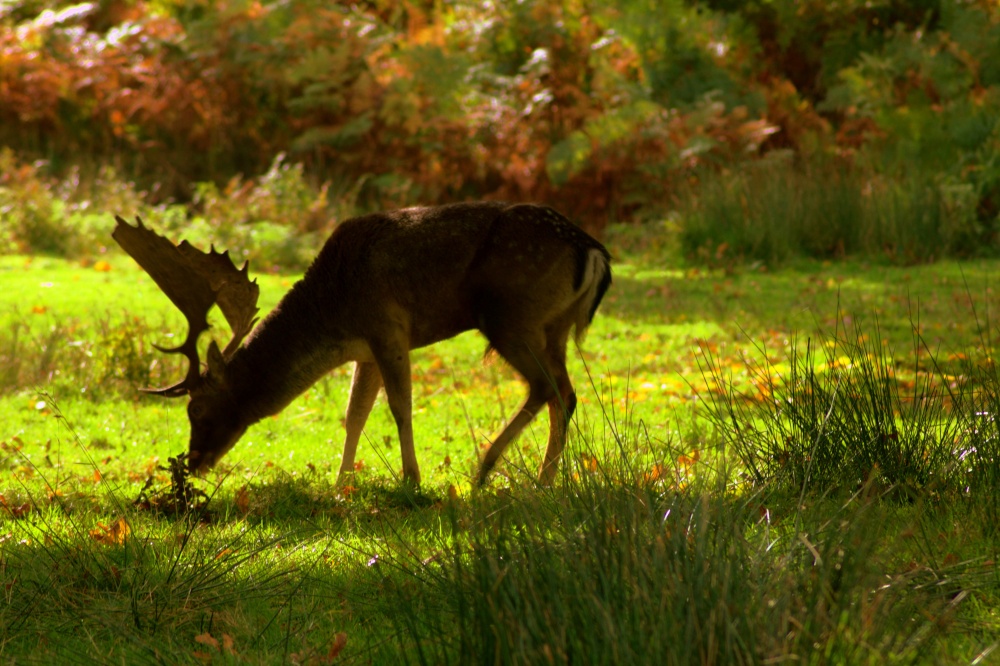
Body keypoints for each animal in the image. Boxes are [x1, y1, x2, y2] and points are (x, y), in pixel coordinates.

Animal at [111, 200, 608, 486]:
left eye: (197, 409)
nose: (193, 462)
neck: (334, 308)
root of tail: (593, 252)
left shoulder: (387, 326)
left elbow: (400, 407)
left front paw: (411, 479)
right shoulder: (364, 351)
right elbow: (355, 415)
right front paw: (340, 485)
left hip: (509, 316)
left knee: (545, 388)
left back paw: (486, 468)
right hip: (553, 326)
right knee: (566, 393)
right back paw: (544, 480)